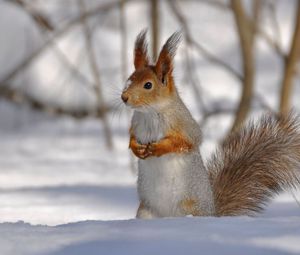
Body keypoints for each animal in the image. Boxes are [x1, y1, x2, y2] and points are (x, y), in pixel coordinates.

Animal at [120, 28, 300, 218]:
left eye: (148, 85)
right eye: (129, 79)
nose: (124, 97)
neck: (150, 112)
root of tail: (212, 212)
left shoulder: (185, 125)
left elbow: (186, 142)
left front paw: (158, 147)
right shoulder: (136, 124)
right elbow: (132, 138)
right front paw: (136, 148)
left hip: (190, 208)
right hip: (145, 211)